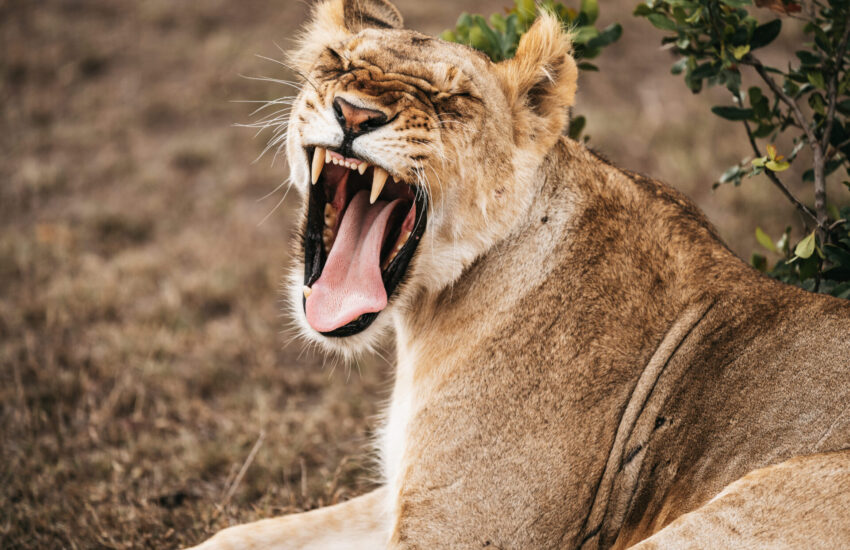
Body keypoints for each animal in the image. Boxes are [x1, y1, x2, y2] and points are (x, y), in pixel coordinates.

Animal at [189, 0, 850, 548]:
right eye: (337, 64)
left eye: (454, 101)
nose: (354, 114)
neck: (428, 309)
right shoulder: (402, 494)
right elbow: (238, 534)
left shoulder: (463, 530)